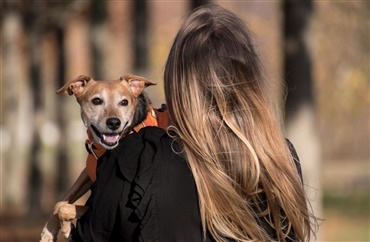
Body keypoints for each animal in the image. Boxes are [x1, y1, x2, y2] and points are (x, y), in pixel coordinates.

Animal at [40, 74, 159, 242]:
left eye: (124, 102)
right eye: (96, 101)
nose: (114, 123)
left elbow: (66, 208)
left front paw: (67, 229)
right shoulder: (87, 172)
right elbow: (61, 201)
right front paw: (48, 232)